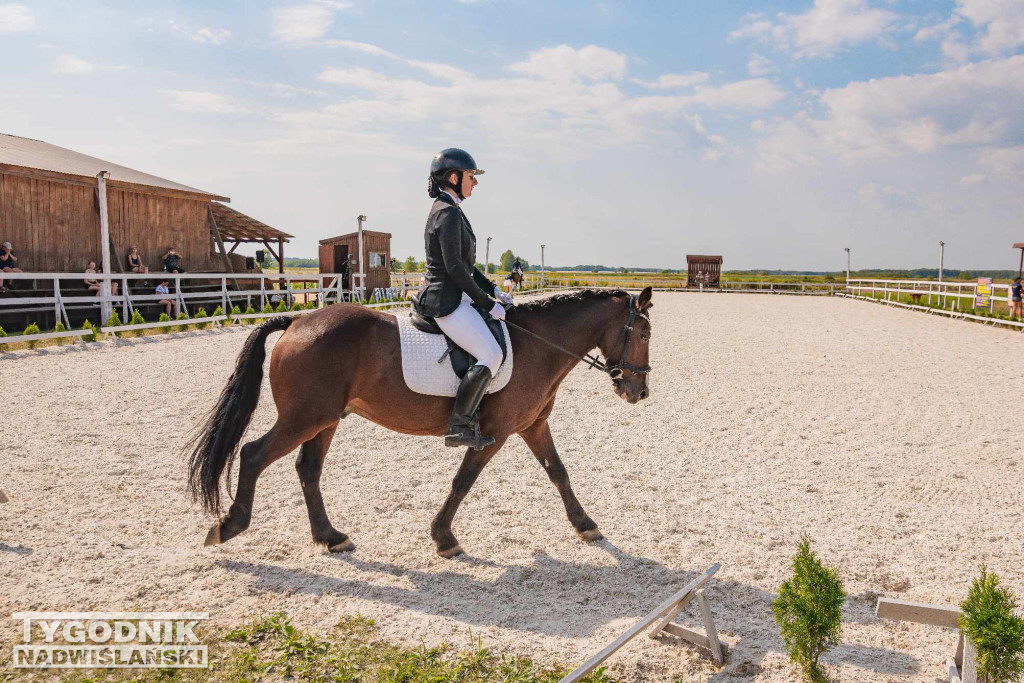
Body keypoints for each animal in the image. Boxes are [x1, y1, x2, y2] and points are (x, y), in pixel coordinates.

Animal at [187, 286, 651, 557]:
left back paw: (331, 536)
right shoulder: (496, 434)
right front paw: (443, 537)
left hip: (324, 420)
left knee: (307, 469)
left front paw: (586, 525)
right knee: (253, 454)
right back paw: (229, 526)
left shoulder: (532, 426)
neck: (537, 345)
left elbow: (559, 472)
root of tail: (297, 320)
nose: (639, 392)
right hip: (304, 418)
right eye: (644, 334)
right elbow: (462, 482)